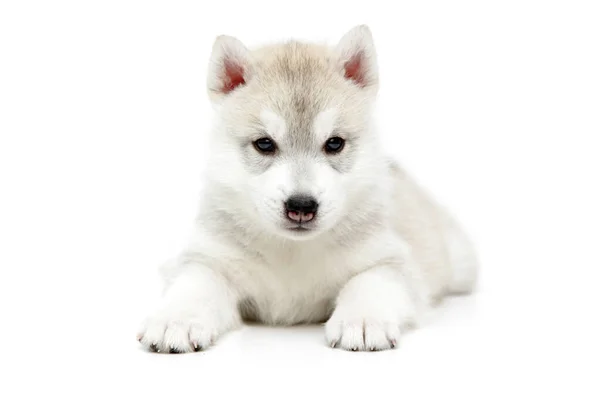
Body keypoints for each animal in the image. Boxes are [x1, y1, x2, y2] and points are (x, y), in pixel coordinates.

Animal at [136, 25, 478, 352]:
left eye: (335, 143)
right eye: (264, 144)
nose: (301, 206)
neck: (292, 252)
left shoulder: (391, 262)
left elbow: (368, 283)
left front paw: (362, 319)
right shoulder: (208, 260)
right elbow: (194, 286)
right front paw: (176, 319)